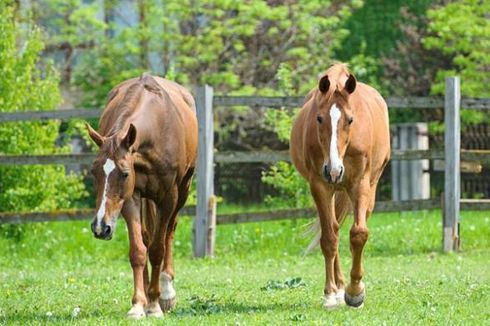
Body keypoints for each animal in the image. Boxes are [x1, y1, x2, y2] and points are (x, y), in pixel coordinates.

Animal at [86, 74, 197, 318]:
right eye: (94, 172)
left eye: (125, 173)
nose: (100, 227)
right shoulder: (131, 197)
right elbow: (138, 250)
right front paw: (139, 304)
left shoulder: (168, 198)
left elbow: (157, 250)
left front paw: (155, 304)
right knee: (147, 237)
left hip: (183, 191)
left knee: (168, 233)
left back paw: (165, 292)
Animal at [290, 64, 390, 310]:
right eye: (318, 118)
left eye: (351, 119)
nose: (334, 170)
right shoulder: (320, 186)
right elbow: (329, 239)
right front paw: (330, 293)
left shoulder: (360, 184)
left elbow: (359, 234)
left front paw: (355, 292)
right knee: (333, 231)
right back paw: (338, 288)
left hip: (367, 189)